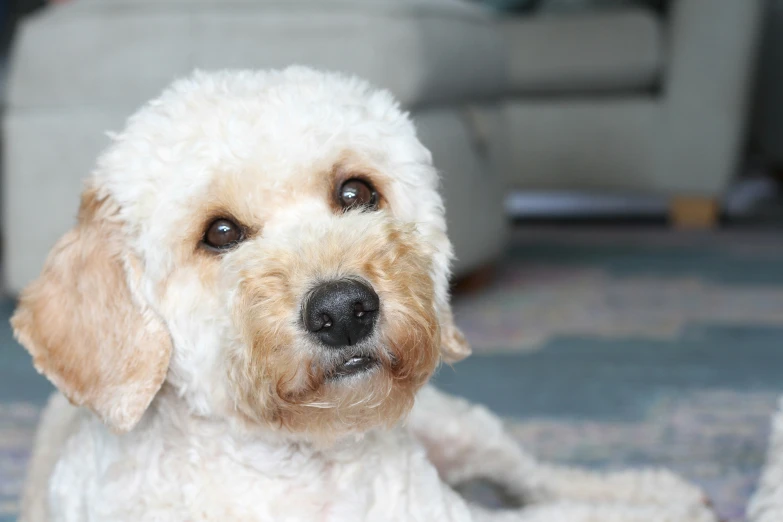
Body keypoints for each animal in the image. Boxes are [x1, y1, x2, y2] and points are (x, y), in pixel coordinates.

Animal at [13, 67, 724, 516]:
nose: (343, 310)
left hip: (460, 429)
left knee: (544, 481)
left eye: (355, 192)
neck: (304, 467)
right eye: (219, 233)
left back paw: (662, 493)